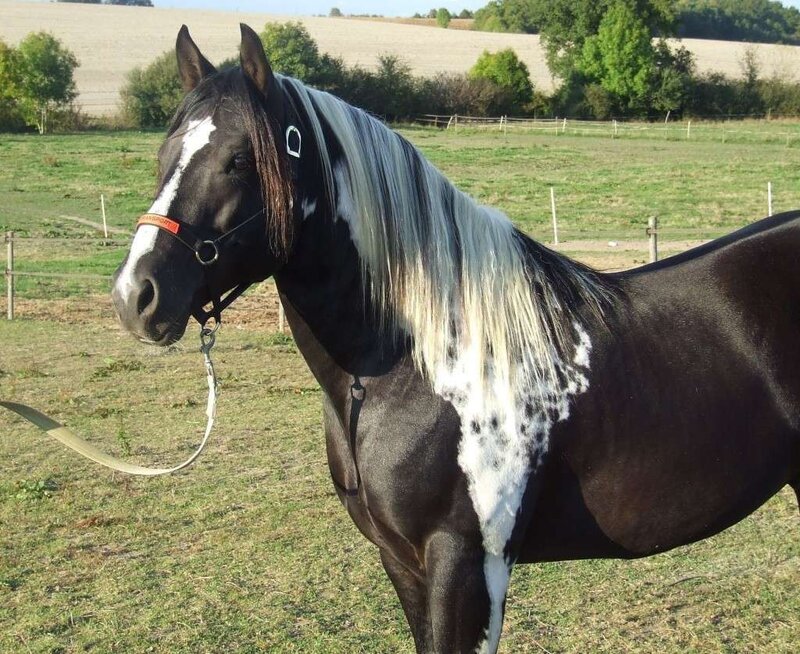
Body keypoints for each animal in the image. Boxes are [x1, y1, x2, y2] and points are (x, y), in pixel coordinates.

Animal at [110, 24, 800, 653]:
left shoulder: (464, 563)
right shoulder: (403, 562)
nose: (136, 295)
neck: (418, 364)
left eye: (239, 160)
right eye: (164, 156)